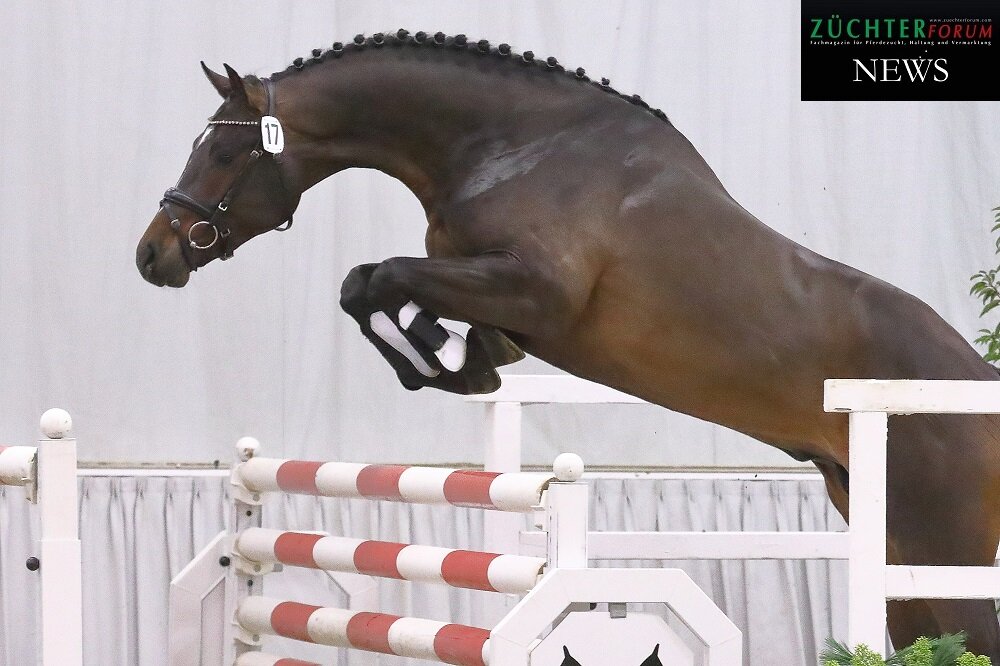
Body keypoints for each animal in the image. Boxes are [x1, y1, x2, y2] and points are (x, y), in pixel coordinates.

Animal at [135, 31, 1000, 658]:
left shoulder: (535, 290)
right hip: (894, 554)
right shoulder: (492, 288)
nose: (153, 255)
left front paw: (450, 364)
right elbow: (370, 284)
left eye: (223, 153)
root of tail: (976, 383)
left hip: (950, 554)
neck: (516, 145)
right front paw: (461, 361)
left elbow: (382, 278)